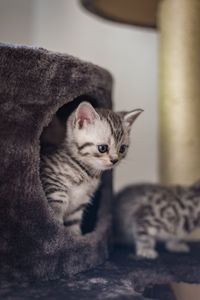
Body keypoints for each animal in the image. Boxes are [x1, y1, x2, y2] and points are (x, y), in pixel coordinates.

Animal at [40, 102, 143, 236]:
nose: (115, 160)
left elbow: (73, 224)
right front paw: (56, 222)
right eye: (103, 148)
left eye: (122, 149)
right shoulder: (49, 175)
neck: (87, 172)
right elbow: (59, 200)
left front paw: (74, 236)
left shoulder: (78, 205)